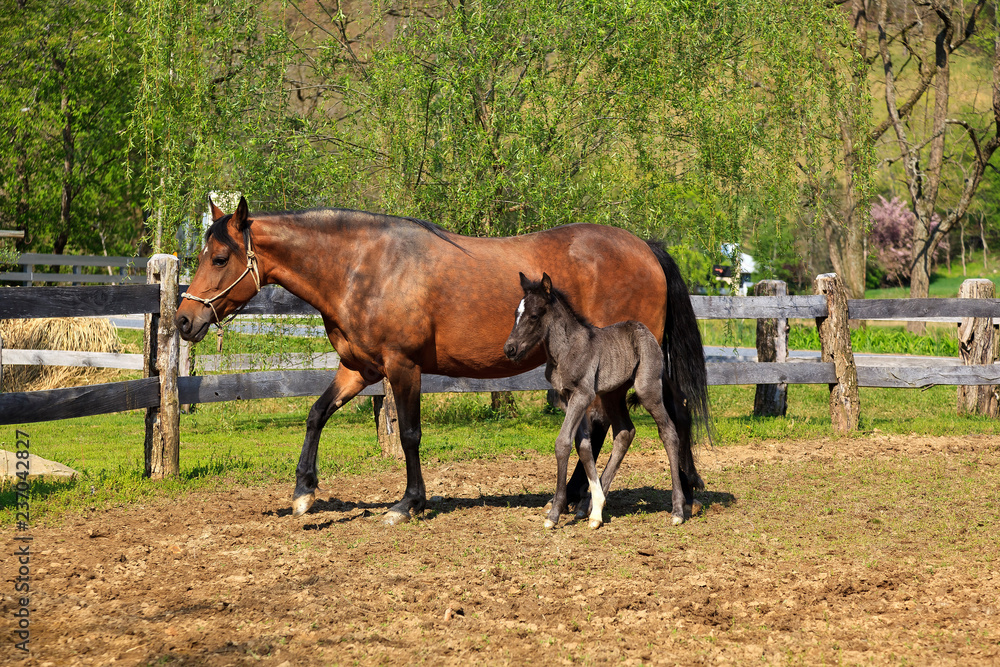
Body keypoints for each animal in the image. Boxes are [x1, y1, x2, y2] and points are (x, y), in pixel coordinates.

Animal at [505, 272, 695, 528]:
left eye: (534, 315)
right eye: (516, 313)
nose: (510, 349)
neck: (566, 350)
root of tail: (645, 331)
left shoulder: (582, 395)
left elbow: (563, 443)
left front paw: (554, 513)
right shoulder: (569, 398)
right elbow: (583, 446)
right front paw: (595, 507)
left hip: (647, 389)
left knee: (668, 432)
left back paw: (678, 510)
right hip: (612, 395)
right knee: (625, 432)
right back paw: (590, 508)